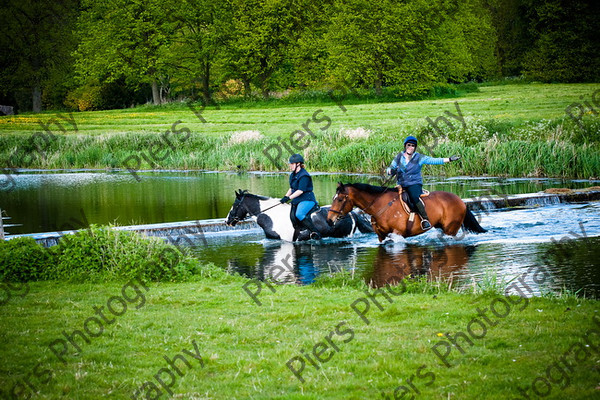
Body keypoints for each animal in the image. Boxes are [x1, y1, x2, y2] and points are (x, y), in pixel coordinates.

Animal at [326, 183, 486, 242]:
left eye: (339, 199)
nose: (329, 220)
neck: (380, 206)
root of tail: (460, 200)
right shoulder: (381, 236)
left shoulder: (397, 234)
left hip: (450, 229)